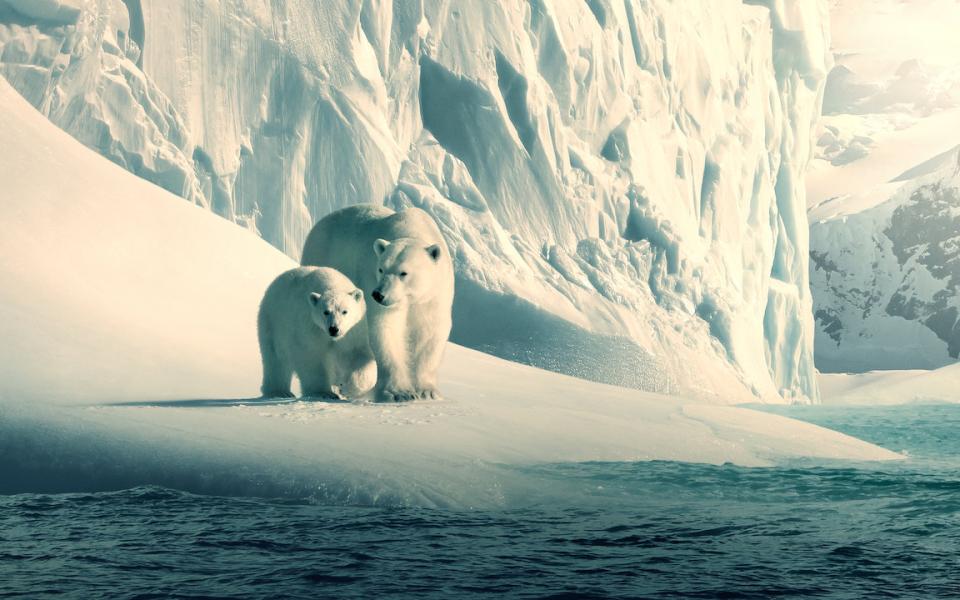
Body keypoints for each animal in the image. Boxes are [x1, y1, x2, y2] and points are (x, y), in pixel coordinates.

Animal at [256, 266, 376, 398]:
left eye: (345, 311)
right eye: (326, 312)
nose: (334, 329)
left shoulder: (352, 332)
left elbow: (356, 354)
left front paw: (346, 387)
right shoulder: (310, 326)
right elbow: (311, 356)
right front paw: (323, 392)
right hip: (272, 323)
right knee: (275, 359)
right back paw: (279, 391)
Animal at [302, 205, 456, 404]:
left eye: (403, 273)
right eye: (381, 269)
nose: (378, 294)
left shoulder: (433, 295)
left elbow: (430, 333)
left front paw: (427, 392)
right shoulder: (371, 280)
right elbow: (385, 329)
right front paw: (399, 393)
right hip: (322, 257)